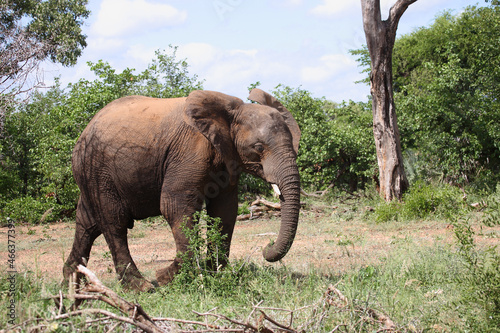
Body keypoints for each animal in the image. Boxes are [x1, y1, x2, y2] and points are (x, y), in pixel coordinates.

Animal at [65, 88, 302, 290]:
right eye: (259, 148)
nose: (266, 247)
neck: (232, 110)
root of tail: (84, 130)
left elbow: (224, 210)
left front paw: (214, 274)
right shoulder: (189, 151)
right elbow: (175, 206)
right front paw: (167, 278)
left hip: (90, 172)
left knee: (87, 223)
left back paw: (70, 283)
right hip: (97, 169)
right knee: (114, 222)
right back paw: (141, 288)